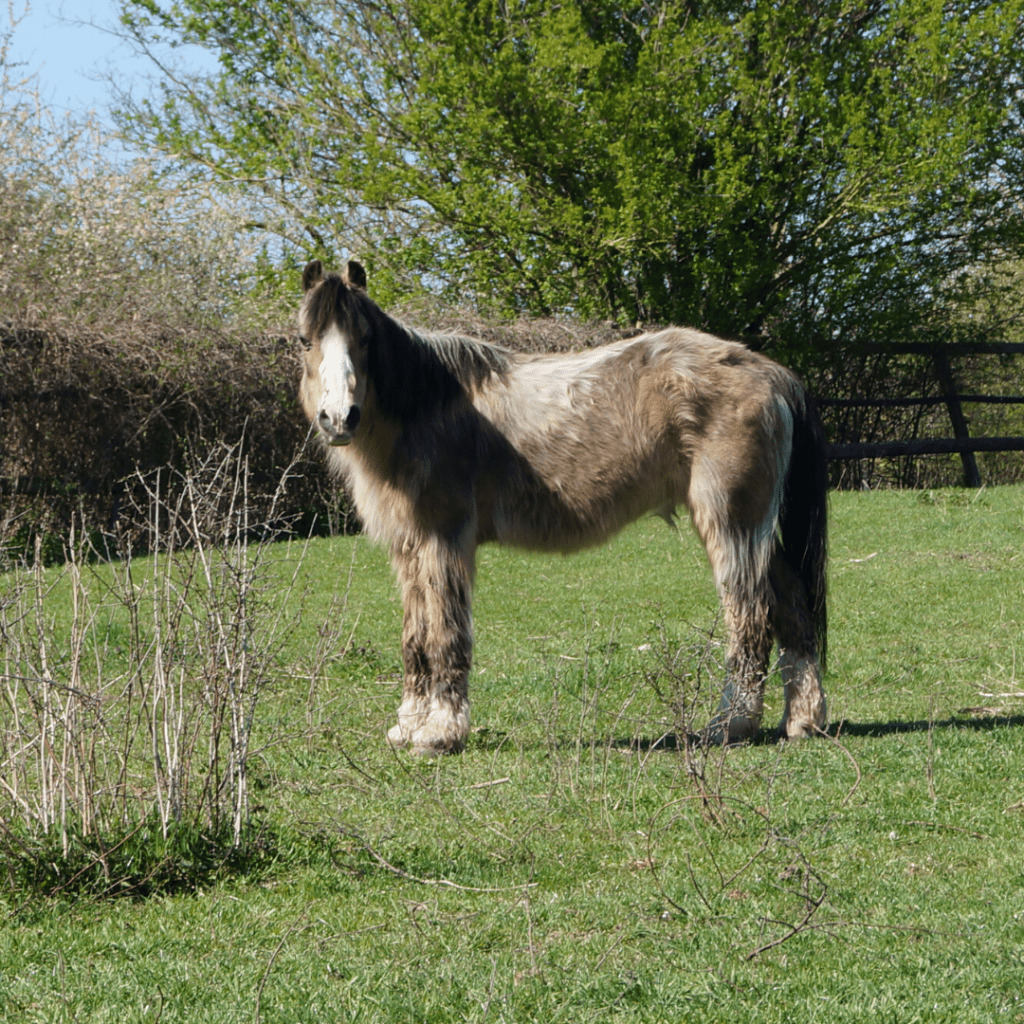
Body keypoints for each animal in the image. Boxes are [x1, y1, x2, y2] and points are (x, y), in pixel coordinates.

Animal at [297, 259, 829, 755]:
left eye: (365, 338)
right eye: (305, 340)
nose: (339, 418)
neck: (428, 406)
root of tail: (770, 373)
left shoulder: (443, 542)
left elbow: (445, 634)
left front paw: (440, 733)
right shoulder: (408, 549)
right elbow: (416, 638)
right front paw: (408, 727)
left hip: (731, 525)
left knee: (751, 619)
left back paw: (729, 725)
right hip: (756, 532)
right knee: (794, 609)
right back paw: (803, 721)